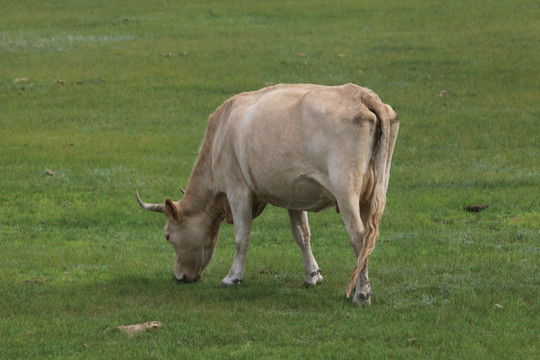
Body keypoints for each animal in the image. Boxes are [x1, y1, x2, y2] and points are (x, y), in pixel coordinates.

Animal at [137, 83, 398, 304]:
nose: (179, 276)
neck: (221, 131)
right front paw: (312, 275)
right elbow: (302, 234)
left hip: (345, 189)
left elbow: (242, 236)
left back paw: (361, 295)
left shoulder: (237, 189)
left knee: (359, 237)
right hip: (375, 190)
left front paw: (232, 277)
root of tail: (360, 94)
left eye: (167, 236)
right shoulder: (294, 193)